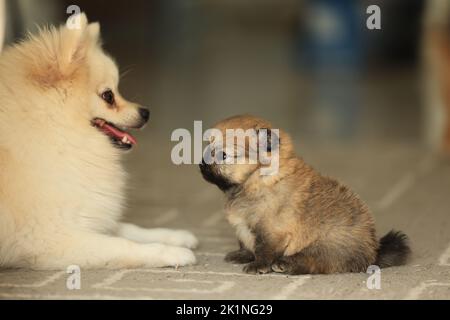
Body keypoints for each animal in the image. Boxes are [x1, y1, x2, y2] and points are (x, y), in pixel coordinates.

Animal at [0, 14, 197, 270]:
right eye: (108, 96)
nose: (146, 112)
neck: (54, 131)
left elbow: (126, 228)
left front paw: (174, 236)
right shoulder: (45, 238)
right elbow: (122, 244)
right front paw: (171, 252)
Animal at [200, 115, 412, 276]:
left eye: (223, 155)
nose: (202, 163)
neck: (257, 179)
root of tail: (373, 251)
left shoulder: (272, 232)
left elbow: (265, 250)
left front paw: (258, 265)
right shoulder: (244, 228)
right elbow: (245, 243)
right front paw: (243, 255)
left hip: (325, 246)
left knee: (312, 261)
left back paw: (287, 264)